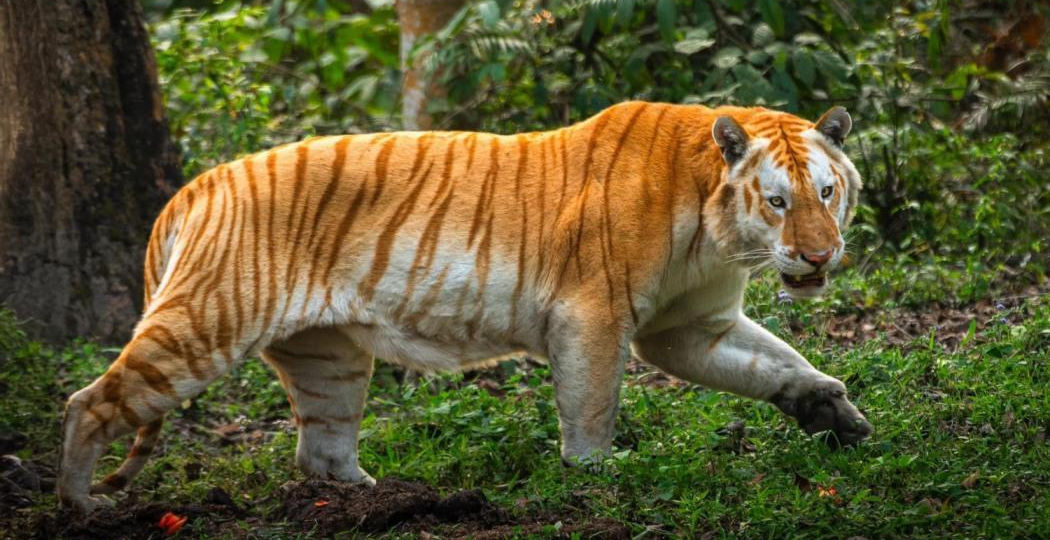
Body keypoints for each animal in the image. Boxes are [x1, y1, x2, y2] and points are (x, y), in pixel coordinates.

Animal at [57, 101, 872, 513]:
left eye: (826, 191)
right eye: (777, 201)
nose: (819, 256)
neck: (715, 230)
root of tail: (196, 186)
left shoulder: (690, 329)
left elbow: (778, 363)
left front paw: (835, 413)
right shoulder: (593, 315)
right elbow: (591, 406)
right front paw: (595, 478)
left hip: (328, 358)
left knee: (321, 450)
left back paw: (380, 499)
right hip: (203, 326)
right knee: (89, 404)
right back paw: (80, 507)